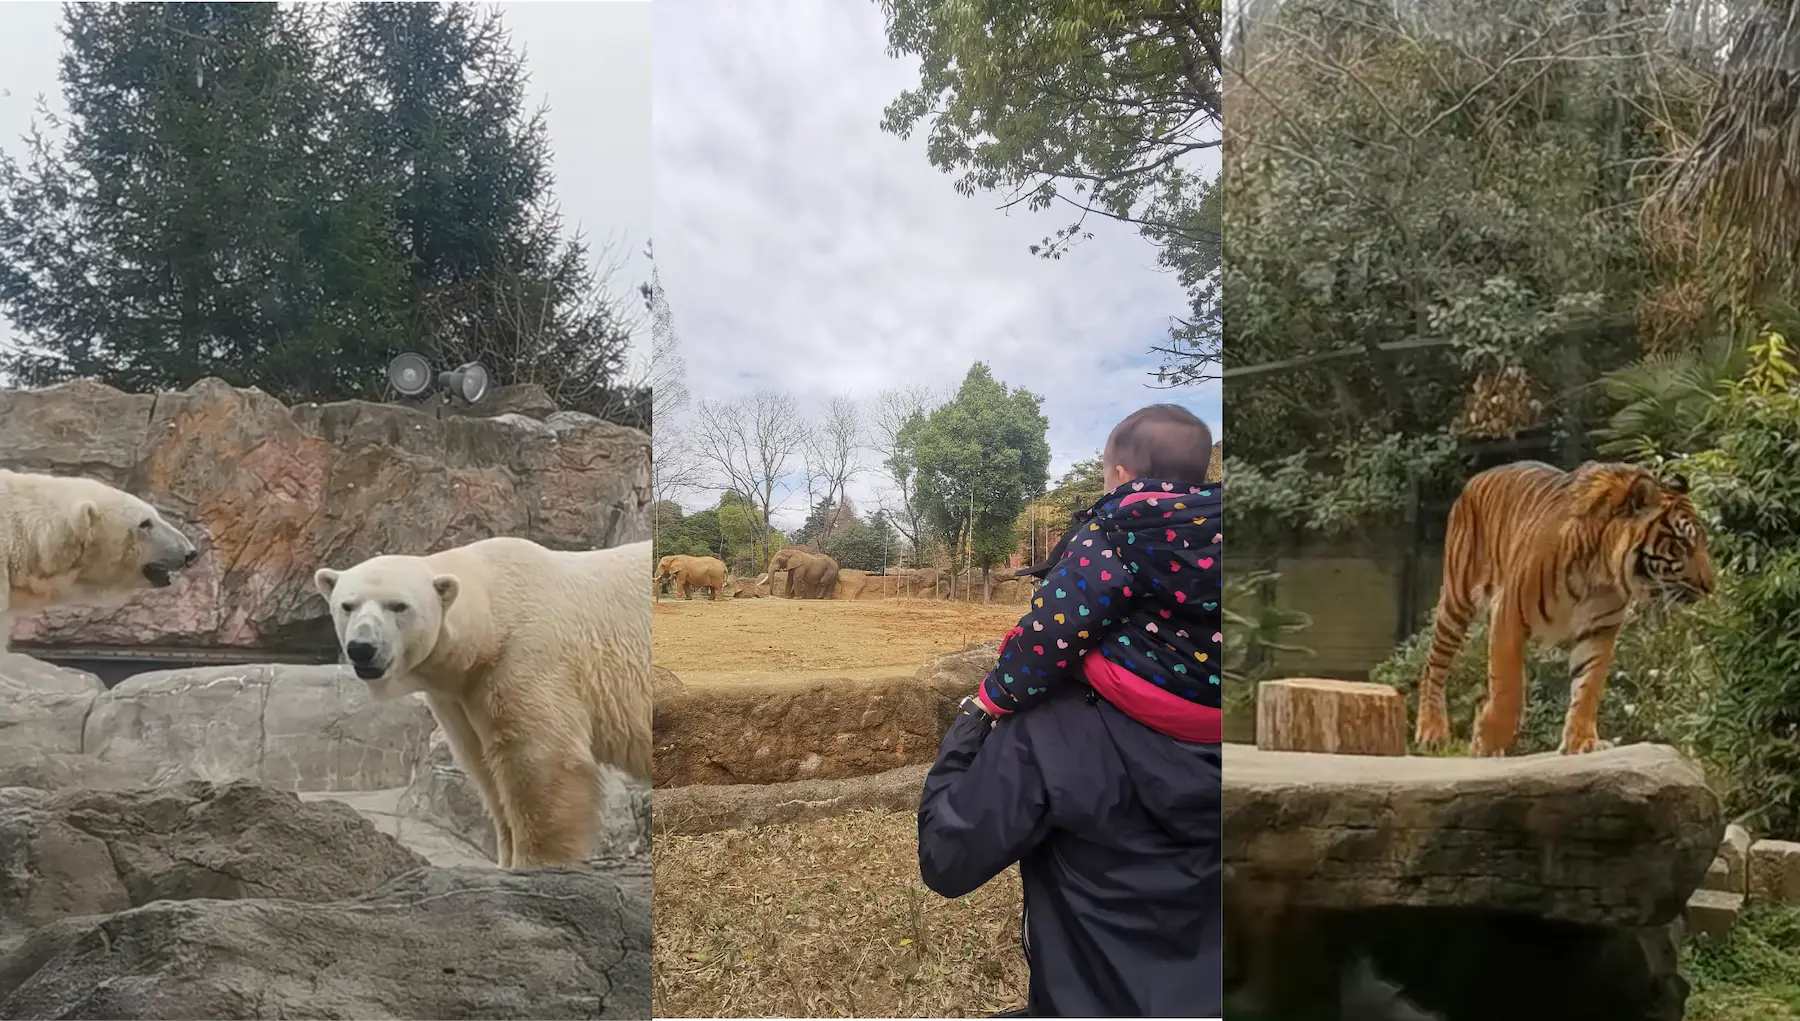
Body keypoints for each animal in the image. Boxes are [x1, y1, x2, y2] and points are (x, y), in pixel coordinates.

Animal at [1413, 460, 1716, 757]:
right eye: (1682, 544)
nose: (1711, 585)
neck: (1601, 574)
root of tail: (1475, 479)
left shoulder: (1598, 630)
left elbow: (1588, 687)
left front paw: (1582, 741)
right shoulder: (1510, 614)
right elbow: (1508, 686)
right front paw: (1487, 741)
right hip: (1457, 601)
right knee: (1434, 666)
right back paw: (1431, 733)